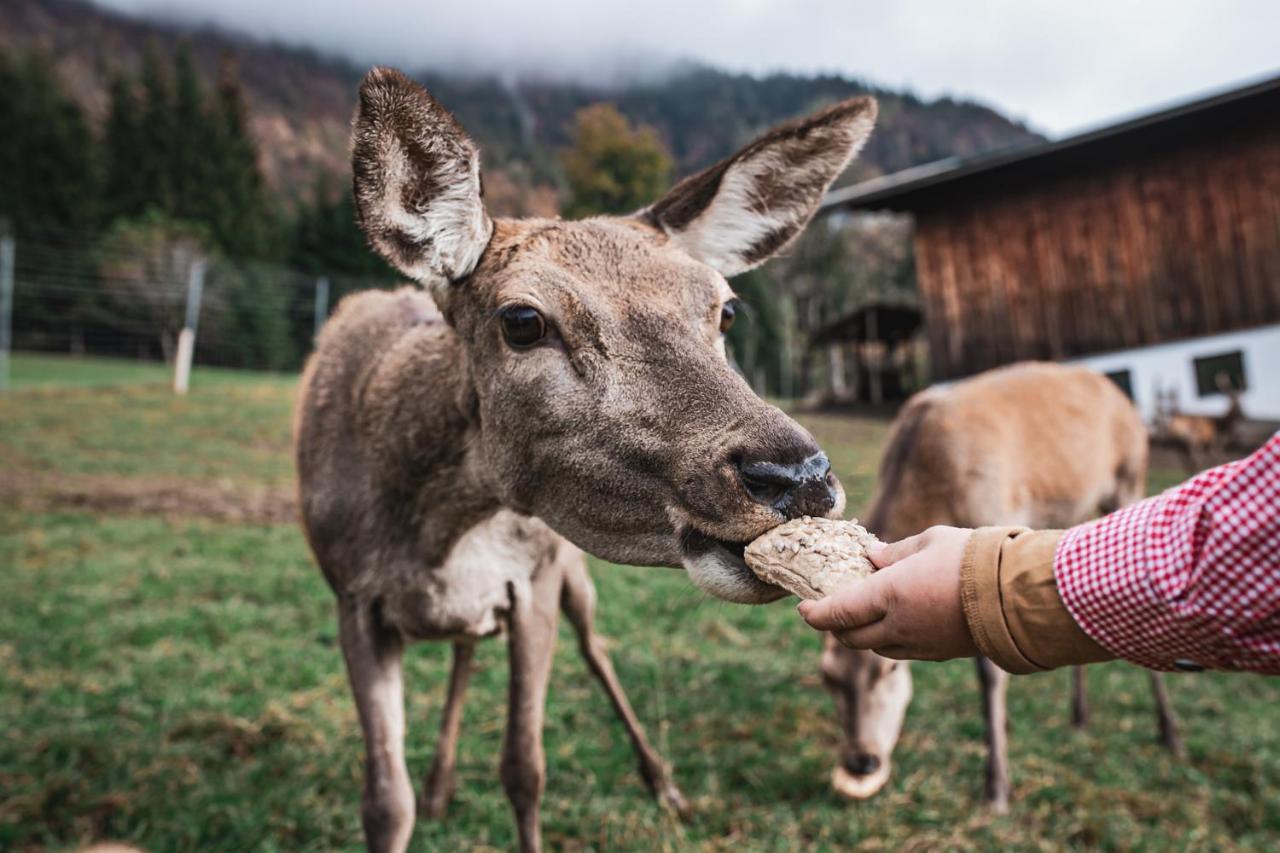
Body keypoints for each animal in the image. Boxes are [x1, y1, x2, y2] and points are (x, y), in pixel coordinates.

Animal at [294, 68, 875, 850]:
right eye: (522, 320)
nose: (797, 476)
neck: (439, 530)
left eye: (725, 309)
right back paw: (444, 784)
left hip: (573, 575)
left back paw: (665, 784)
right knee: (467, 649)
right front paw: (418, 795)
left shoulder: (537, 576)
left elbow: (524, 767)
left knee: (594, 649)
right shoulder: (351, 595)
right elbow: (386, 802)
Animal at [814, 361, 1182, 809]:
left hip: (1130, 477)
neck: (934, 486)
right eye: (827, 677)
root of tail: (1121, 396)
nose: (861, 761)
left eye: (888, 670)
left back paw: (1169, 731)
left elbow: (989, 667)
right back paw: (1079, 714)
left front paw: (997, 785)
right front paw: (1003, 730)